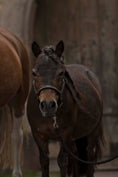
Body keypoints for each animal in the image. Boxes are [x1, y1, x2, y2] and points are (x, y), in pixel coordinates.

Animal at [27, 40, 103, 177]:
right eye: (34, 73)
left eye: (61, 73)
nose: (48, 105)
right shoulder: (39, 135)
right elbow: (44, 161)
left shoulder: (65, 134)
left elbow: (62, 161)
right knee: (76, 156)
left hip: (92, 133)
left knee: (89, 156)